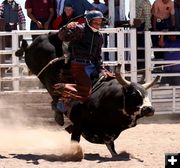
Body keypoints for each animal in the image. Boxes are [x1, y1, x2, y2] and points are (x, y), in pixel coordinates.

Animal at [15, 32, 159, 156]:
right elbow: (75, 141)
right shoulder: (78, 124)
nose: (149, 109)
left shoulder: (108, 134)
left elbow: (112, 149)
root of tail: (49, 35)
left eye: (146, 94)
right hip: (34, 63)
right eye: (134, 94)